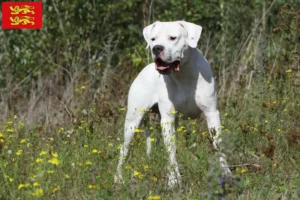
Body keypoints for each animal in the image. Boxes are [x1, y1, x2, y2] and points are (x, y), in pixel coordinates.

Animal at [115, 20, 232, 188]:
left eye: (173, 38)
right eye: (153, 39)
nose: (157, 48)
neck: (183, 74)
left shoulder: (212, 113)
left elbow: (218, 144)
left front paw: (226, 174)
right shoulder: (167, 119)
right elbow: (170, 151)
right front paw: (173, 180)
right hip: (132, 122)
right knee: (124, 150)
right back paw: (118, 178)